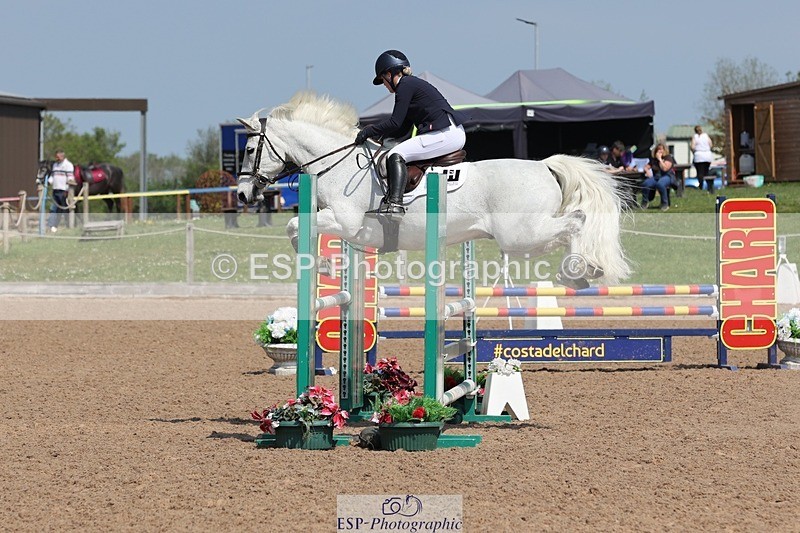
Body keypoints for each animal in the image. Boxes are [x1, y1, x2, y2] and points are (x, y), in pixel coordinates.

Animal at [235, 92, 630, 286]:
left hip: (521, 235)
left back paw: (577, 271)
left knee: (576, 222)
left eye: (250, 149)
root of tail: (543, 165)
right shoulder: (351, 229)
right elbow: (298, 228)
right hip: (525, 237)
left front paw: (322, 266)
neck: (339, 163)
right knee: (572, 225)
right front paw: (327, 267)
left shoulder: (345, 221)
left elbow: (293, 226)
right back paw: (583, 273)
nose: (242, 194)